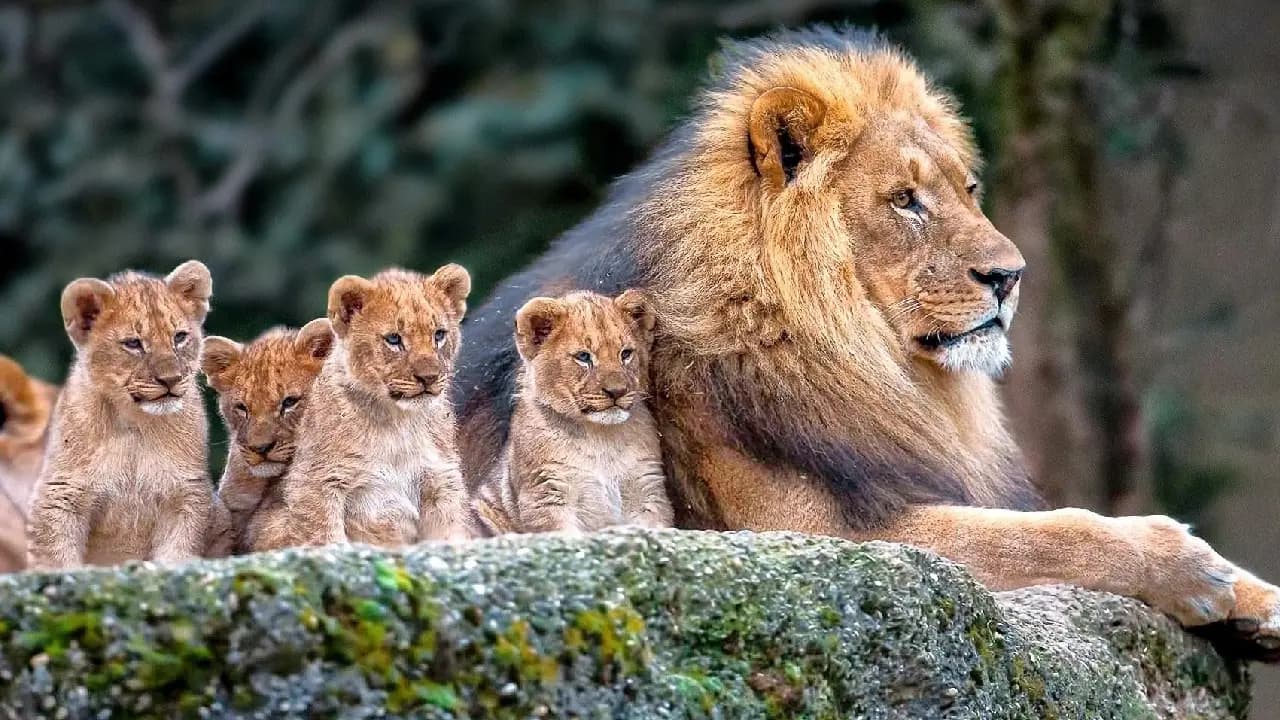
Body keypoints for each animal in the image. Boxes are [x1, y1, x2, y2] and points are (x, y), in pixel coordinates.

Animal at [458, 26, 1280, 655]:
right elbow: (1047, 535)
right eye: (906, 201)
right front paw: (1186, 564)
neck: (866, 358)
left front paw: (1260, 598)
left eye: (968, 190)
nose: (1011, 276)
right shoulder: (803, 533)